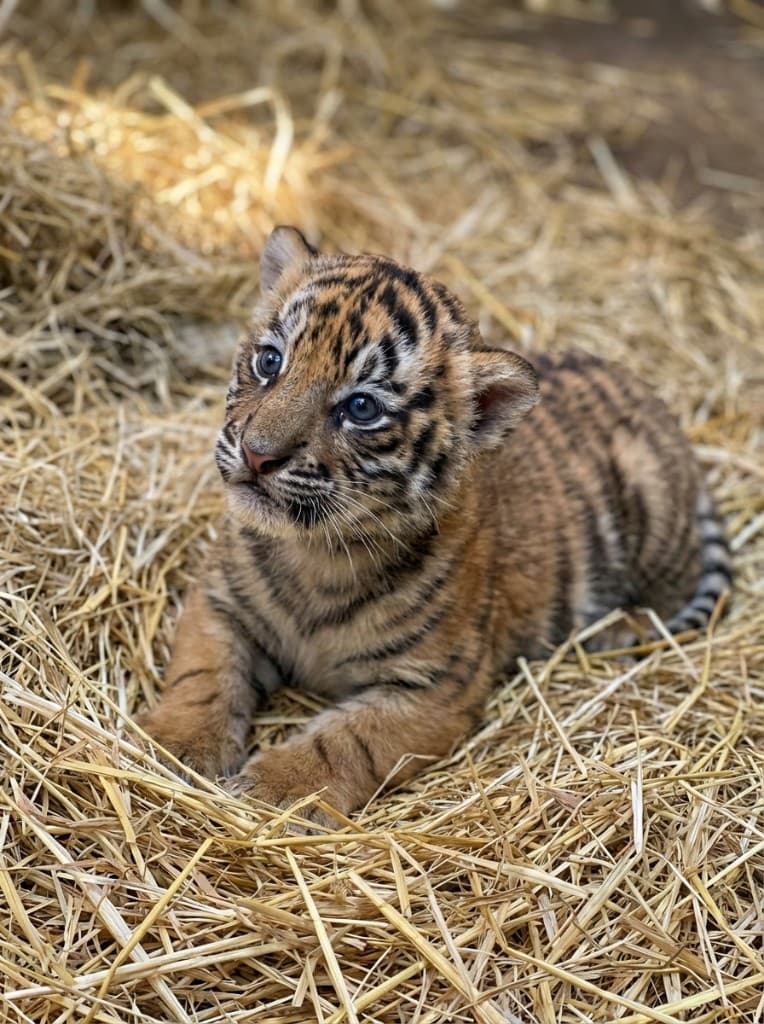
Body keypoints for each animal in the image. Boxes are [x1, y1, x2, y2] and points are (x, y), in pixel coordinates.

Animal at [137, 225, 732, 827]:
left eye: (361, 407)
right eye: (269, 360)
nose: (258, 455)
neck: (317, 555)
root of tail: (650, 397)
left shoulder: (437, 685)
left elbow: (348, 739)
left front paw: (275, 789)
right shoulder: (219, 605)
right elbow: (203, 677)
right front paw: (176, 746)